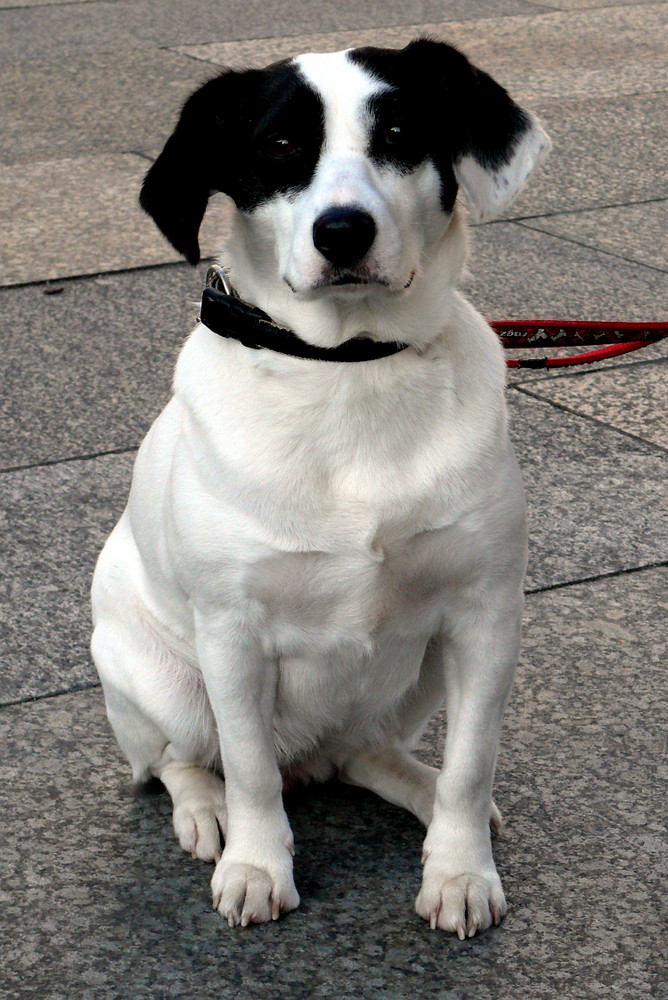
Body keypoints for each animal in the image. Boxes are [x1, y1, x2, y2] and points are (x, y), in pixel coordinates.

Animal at [90, 39, 548, 936]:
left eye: (399, 133)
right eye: (278, 145)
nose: (343, 232)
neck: (348, 370)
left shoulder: (485, 615)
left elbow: (471, 762)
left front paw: (459, 869)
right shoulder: (232, 633)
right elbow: (248, 767)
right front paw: (257, 866)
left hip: (416, 676)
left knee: (365, 752)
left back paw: (415, 789)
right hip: (153, 673)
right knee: (180, 760)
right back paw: (207, 813)